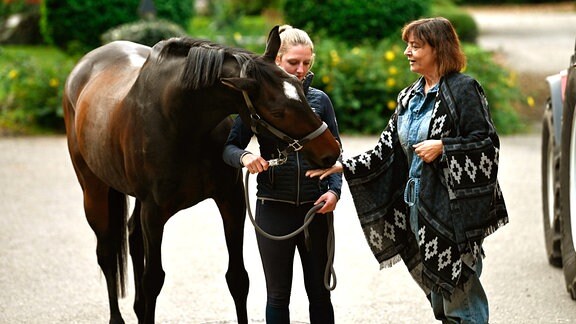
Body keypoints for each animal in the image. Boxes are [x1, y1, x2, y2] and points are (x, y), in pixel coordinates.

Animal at [63, 26, 342, 324]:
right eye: (278, 111)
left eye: (301, 89)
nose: (331, 150)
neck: (180, 121)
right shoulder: (154, 213)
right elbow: (153, 280)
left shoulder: (231, 201)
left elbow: (238, 278)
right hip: (94, 189)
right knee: (106, 251)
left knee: (133, 237)